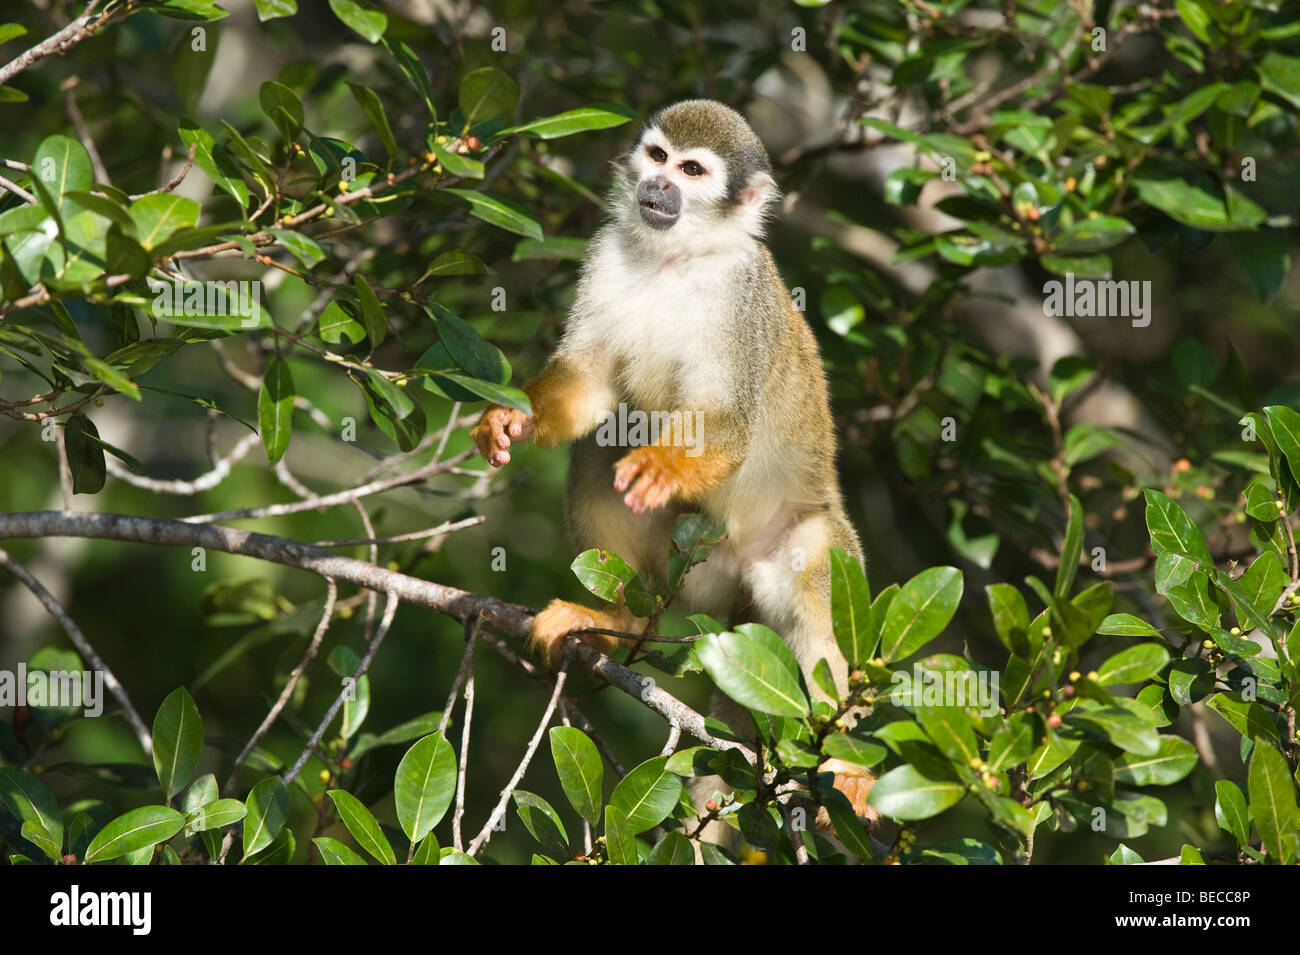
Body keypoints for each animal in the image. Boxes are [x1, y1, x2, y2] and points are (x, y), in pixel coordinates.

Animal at [470, 100, 873, 826]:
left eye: (693, 171)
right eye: (658, 157)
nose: (657, 188)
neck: (678, 257)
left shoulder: (740, 296)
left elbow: (731, 426)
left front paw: (665, 469)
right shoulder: (605, 254)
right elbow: (589, 386)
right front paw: (508, 419)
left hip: (785, 547)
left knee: (816, 571)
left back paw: (845, 762)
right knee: (601, 449)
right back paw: (620, 621)